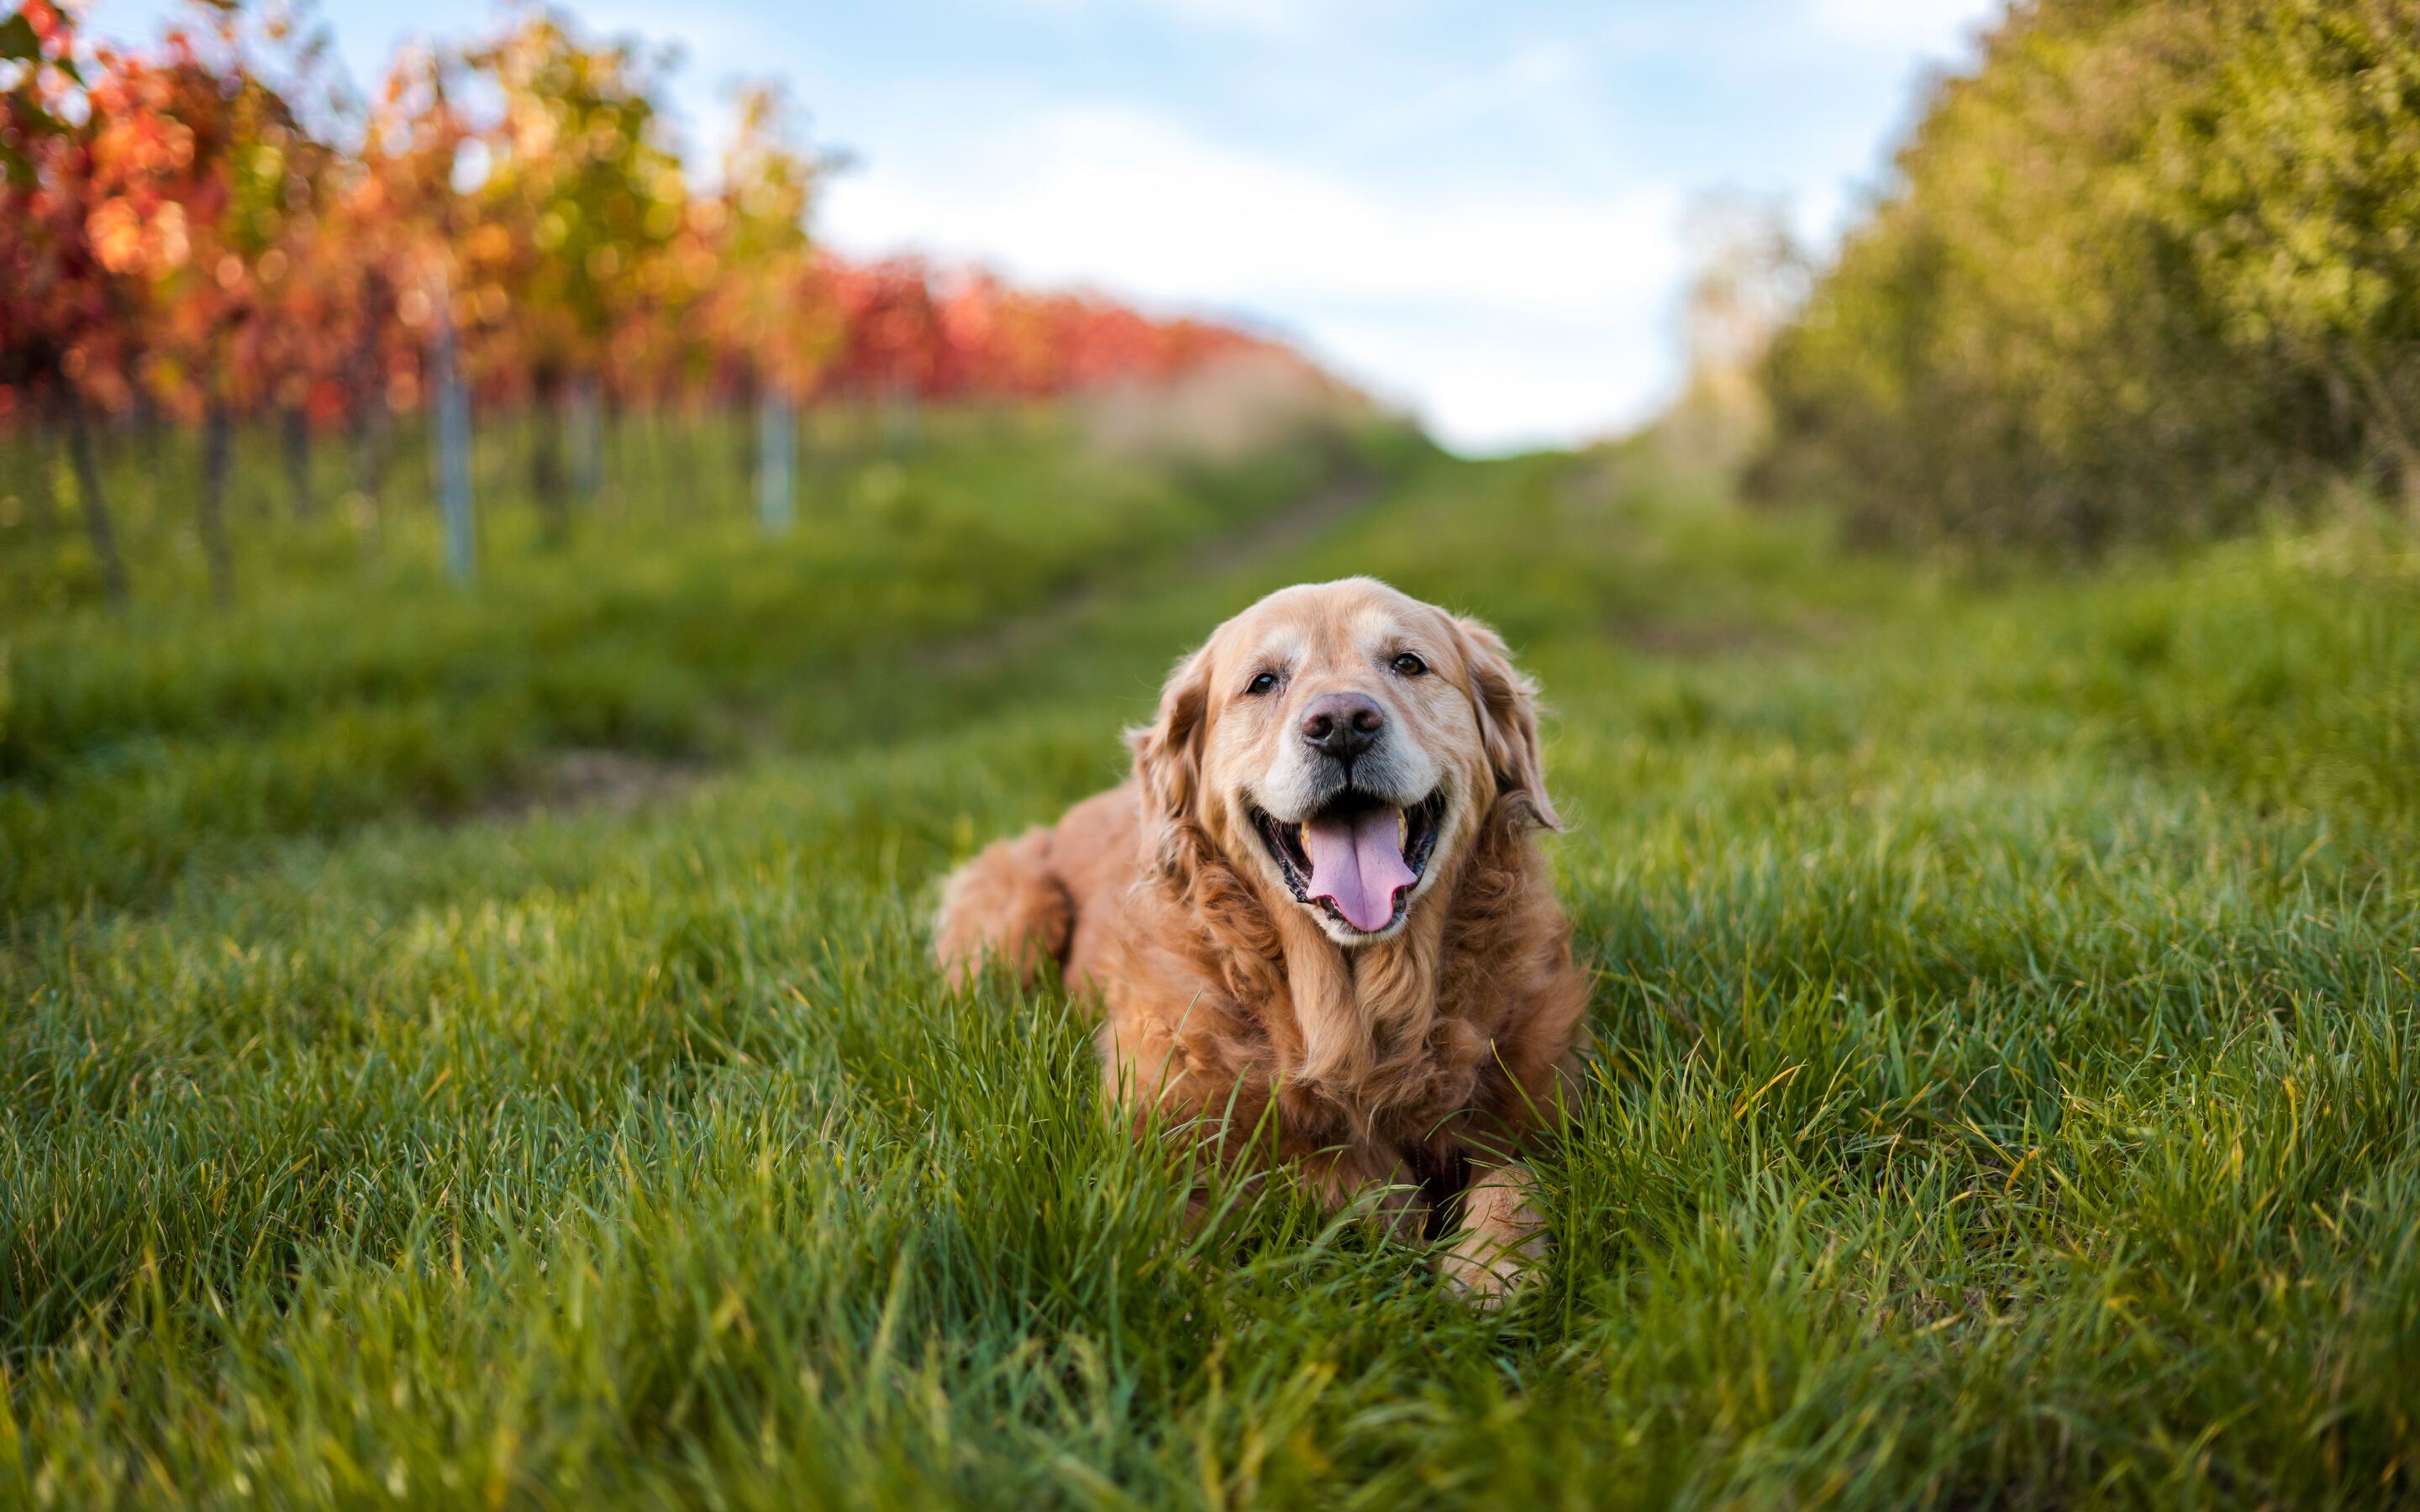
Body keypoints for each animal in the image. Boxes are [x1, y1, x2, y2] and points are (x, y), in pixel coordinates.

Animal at [929, 578, 1587, 1296]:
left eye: (1408, 663)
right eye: (1264, 681)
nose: (1342, 723)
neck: (1349, 1021)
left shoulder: (1545, 1113)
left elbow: (1517, 1175)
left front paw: (1491, 1266)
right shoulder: (1152, 1152)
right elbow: (1227, 1221)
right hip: (1014, 909)